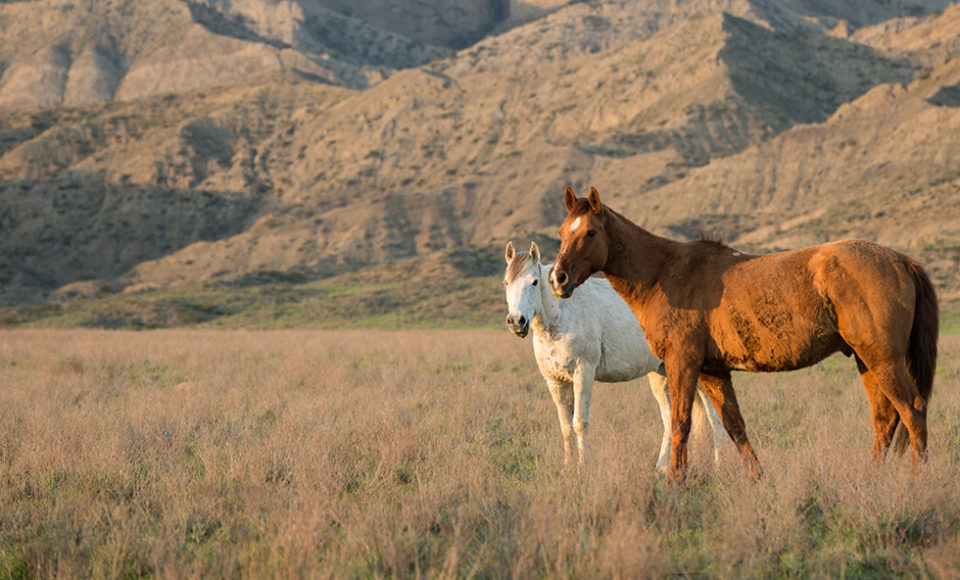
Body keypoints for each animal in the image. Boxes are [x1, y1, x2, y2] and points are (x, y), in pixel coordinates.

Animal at [506, 240, 724, 472]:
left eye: (534, 282)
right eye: (506, 282)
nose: (516, 321)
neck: (562, 315)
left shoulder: (583, 373)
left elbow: (579, 423)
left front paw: (583, 467)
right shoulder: (555, 381)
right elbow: (565, 427)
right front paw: (568, 467)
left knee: (715, 418)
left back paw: (718, 465)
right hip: (661, 375)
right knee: (670, 419)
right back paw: (662, 468)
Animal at [548, 188, 936, 482]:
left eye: (590, 233)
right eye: (563, 232)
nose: (557, 278)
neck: (664, 273)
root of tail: (900, 260)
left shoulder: (682, 363)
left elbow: (681, 423)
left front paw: (675, 482)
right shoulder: (713, 371)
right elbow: (734, 426)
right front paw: (756, 481)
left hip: (883, 360)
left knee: (913, 410)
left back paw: (917, 483)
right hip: (866, 361)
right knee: (884, 419)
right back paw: (870, 480)